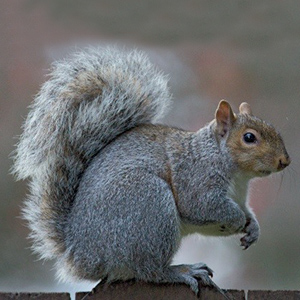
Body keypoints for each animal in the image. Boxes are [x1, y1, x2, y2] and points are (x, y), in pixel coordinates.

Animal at [13, 47, 290, 296]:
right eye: (249, 137)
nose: (284, 161)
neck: (237, 174)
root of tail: (80, 254)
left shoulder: (239, 196)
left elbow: (240, 213)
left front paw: (252, 227)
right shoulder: (196, 178)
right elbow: (202, 206)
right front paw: (236, 219)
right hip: (148, 206)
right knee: (149, 270)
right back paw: (182, 271)